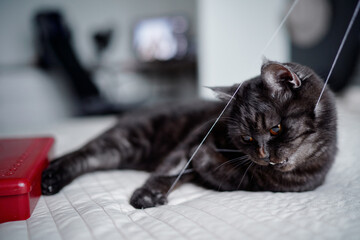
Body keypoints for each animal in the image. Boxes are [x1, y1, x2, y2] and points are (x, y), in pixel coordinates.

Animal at [42, 60, 338, 208]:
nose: (263, 154)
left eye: (275, 129)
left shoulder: (254, 182)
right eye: (247, 138)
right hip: (129, 141)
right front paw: (146, 194)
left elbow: (220, 174)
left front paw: (204, 161)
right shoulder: (195, 137)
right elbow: (170, 170)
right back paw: (50, 177)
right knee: (85, 153)